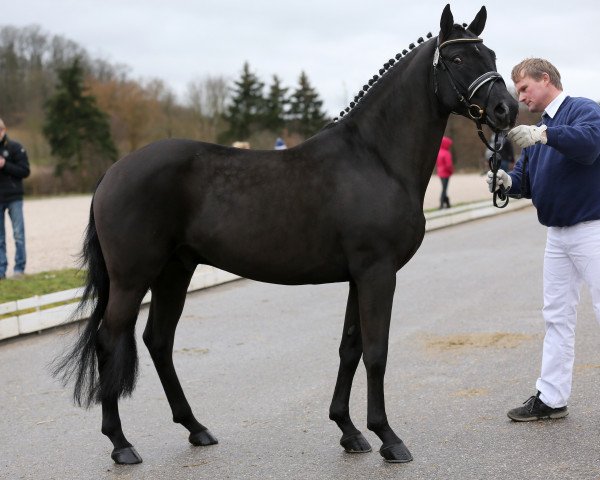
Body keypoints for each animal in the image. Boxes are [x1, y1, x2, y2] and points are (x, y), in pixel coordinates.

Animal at [54, 3, 516, 464]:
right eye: (457, 58)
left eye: (491, 55)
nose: (505, 109)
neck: (375, 159)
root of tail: (113, 172)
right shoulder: (377, 273)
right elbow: (376, 352)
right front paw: (388, 436)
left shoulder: (359, 276)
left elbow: (350, 347)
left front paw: (349, 431)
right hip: (133, 278)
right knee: (110, 341)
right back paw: (121, 444)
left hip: (175, 271)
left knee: (158, 340)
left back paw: (195, 428)